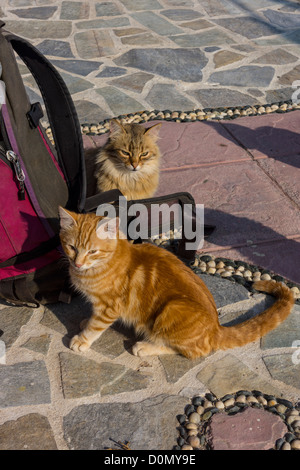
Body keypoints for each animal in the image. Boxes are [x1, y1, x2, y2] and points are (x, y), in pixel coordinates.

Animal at [59, 207, 296, 358]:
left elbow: (96, 325)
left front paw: (83, 339)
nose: (77, 263)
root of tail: (216, 328)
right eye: (71, 247)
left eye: (92, 251)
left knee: (192, 351)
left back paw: (146, 347)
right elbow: (92, 319)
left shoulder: (110, 307)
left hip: (171, 308)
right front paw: (85, 323)